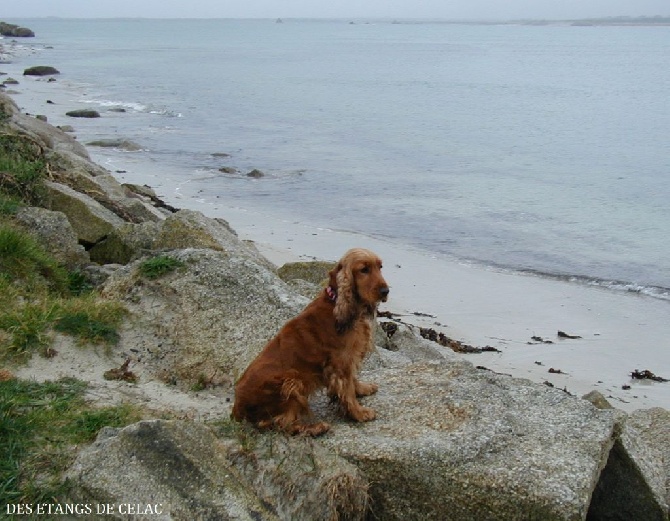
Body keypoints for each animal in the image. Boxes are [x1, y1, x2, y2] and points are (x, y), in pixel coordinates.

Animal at [232, 248, 392, 434]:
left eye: (380, 267)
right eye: (364, 269)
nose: (385, 291)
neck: (336, 303)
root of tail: (237, 407)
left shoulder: (350, 358)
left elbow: (353, 379)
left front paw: (362, 389)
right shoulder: (341, 362)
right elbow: (347, 390)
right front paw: (359, 413)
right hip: (291, 382)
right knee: (281, 423)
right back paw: (316, 427)